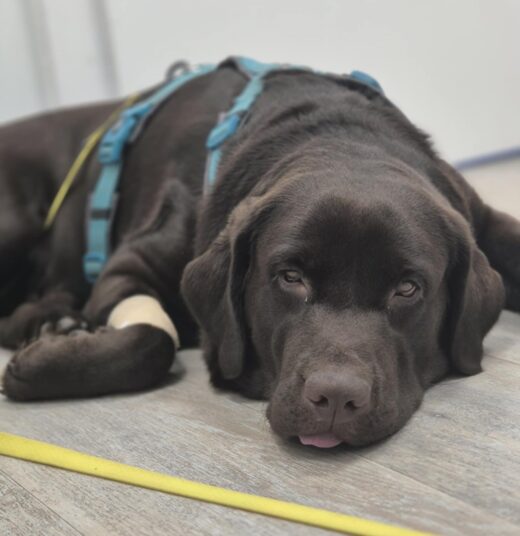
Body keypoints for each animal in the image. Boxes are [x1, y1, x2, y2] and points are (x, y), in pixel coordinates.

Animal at [1, 57, 518, 447]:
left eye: (408, 288)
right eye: (290, 277)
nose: (335, 398)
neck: (338, 135)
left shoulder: (480, 216)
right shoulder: (131, 265)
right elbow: (151, 340)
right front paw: (36, 369)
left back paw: (51, 321)